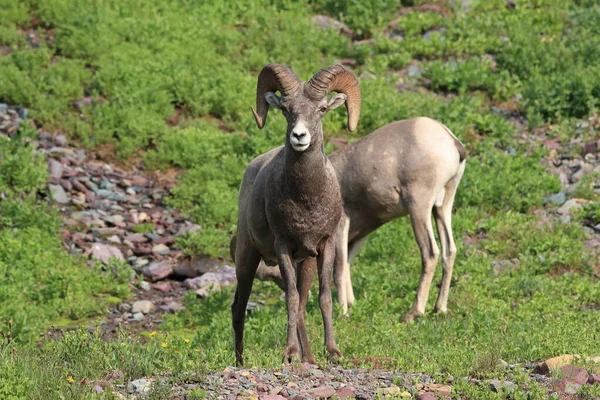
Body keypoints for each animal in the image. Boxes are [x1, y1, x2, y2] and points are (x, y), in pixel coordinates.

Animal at [232, 63, 358, 366]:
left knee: (301, 305)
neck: (306, 201)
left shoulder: (325, 246)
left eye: (322, 109)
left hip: (306, 263)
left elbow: (323, 298)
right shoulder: (283, 248)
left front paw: (333, 353)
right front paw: (289, 354)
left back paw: (308, 359)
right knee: (239, 307)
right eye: (286, 110)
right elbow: (289, 297)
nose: (299, 137)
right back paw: (240, 362)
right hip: (247, 257)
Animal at [237, 116, 466, 322]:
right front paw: (350, 304)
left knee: (430, 253)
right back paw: (439, 308)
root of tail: (452, 142)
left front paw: (342, 312)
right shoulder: (355, 237)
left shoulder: (339, 228)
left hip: (419, 207)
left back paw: (413, 313)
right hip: (441, 207)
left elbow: (337, 269)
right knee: (450, 250)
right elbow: (346, 264)